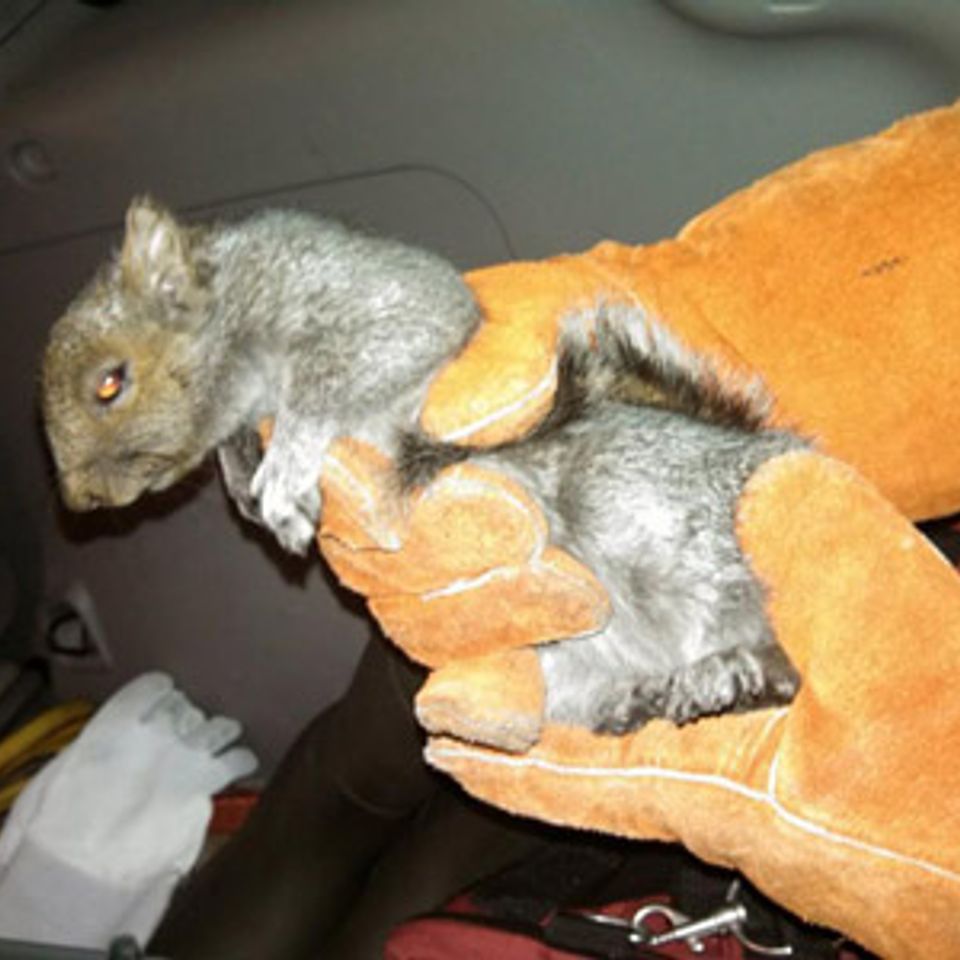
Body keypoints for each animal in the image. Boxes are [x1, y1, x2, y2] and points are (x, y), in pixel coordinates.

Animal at [41, 196, 479, 554]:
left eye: (110, 383)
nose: (80, 499)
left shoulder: (378, 297)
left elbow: (319, 383)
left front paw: (283, 472)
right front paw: (242, 477)